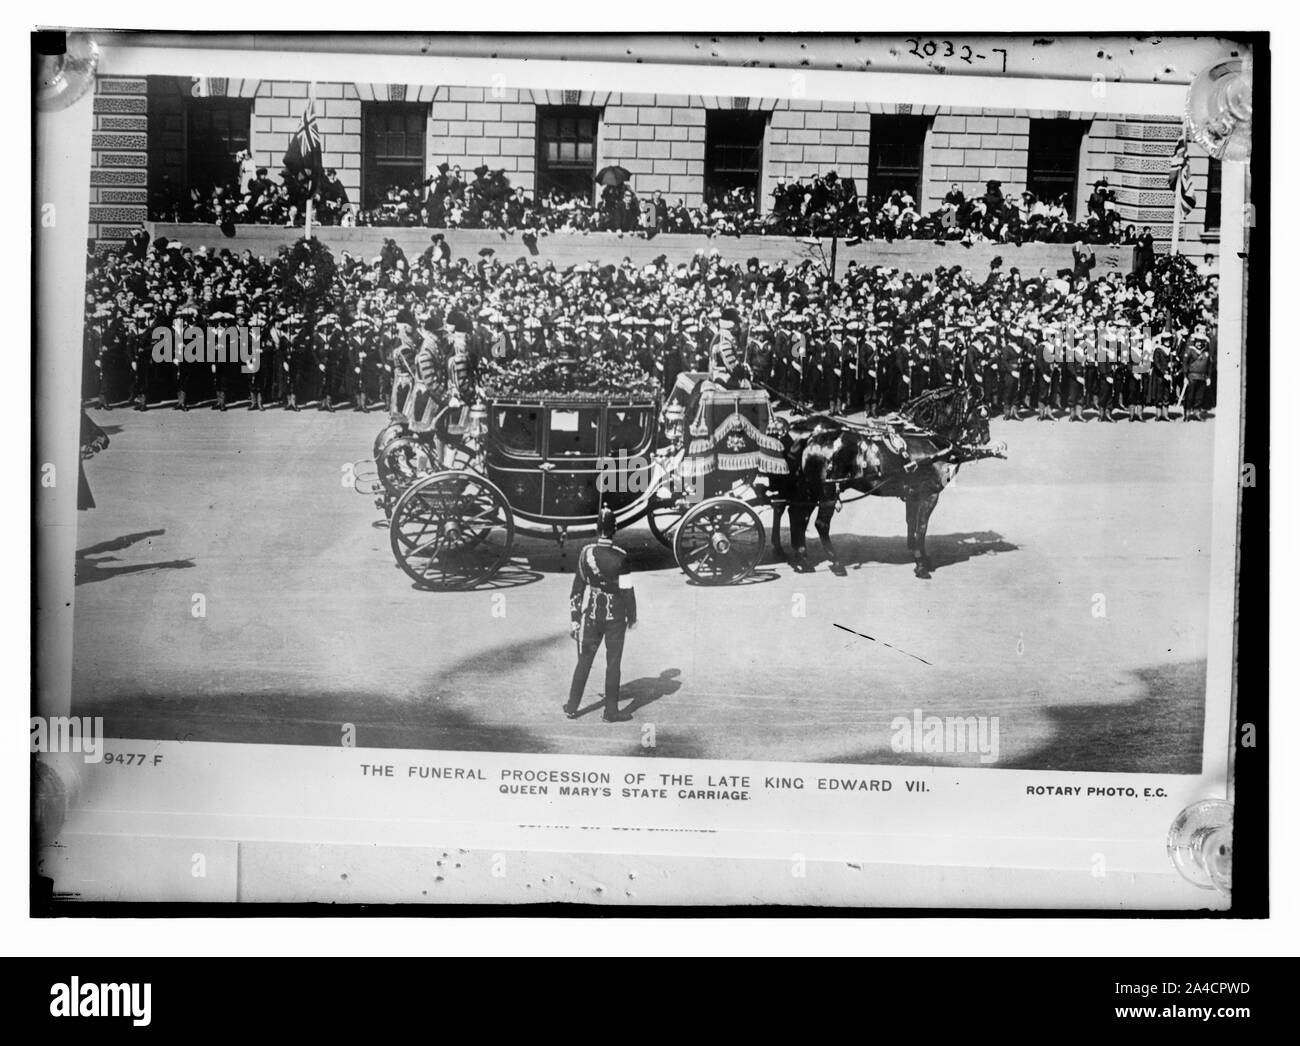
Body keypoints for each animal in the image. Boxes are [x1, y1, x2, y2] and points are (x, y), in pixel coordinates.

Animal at [769, 384, 1003, 579]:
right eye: (982, 410)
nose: (986, 437)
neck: (923, 439)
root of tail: (809, 438)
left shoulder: (912, 495)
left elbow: (912, 524)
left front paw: (918, 555)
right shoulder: (929, 494)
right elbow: (922, 527)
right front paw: (921, 565)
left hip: (810, 491)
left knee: (796, 515)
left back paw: (802, 560)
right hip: (827, 493)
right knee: (819, 524)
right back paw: (835, 563)